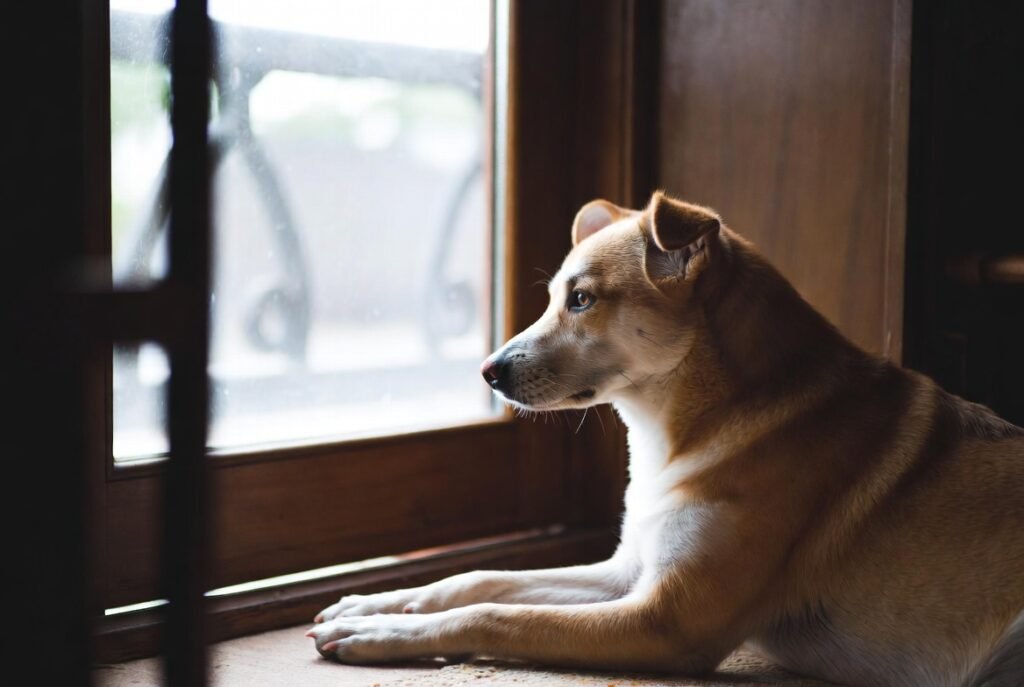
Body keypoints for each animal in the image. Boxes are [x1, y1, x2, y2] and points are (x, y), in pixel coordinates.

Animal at [308, 191, 1024, 687]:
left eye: (581, 300)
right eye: (554, 296)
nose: (487, 371)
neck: (684, 432)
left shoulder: (665, 618)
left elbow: (496, 614)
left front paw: (378, 633)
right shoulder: (629, 572)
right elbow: (478, 578)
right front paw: (375, 603)